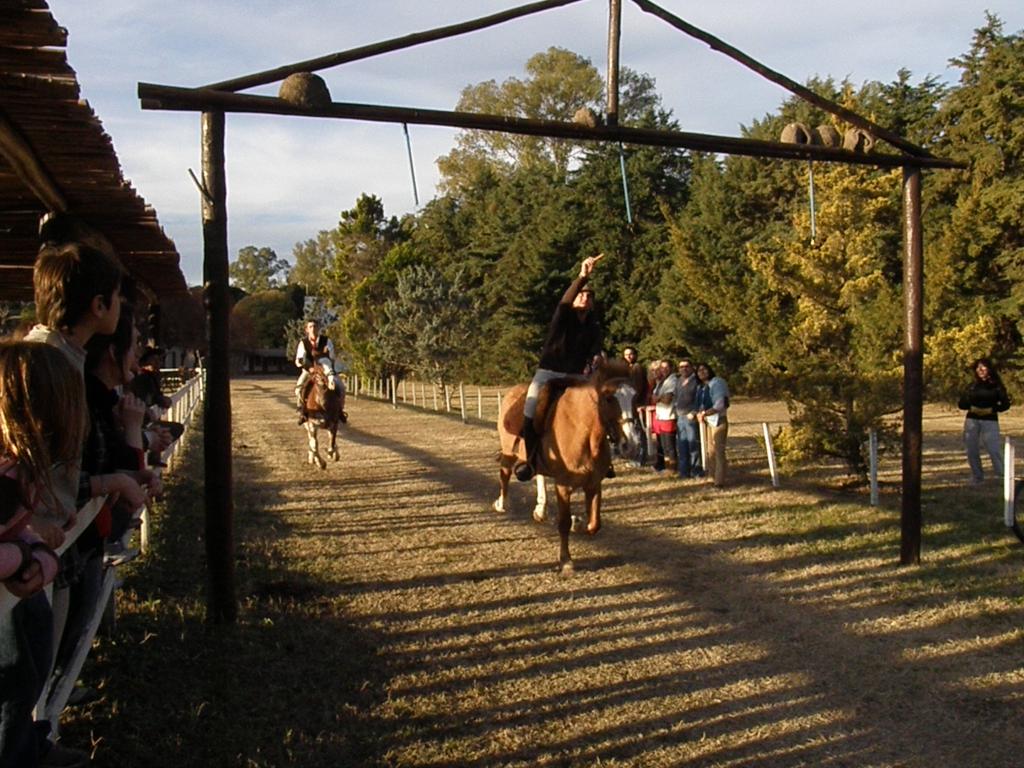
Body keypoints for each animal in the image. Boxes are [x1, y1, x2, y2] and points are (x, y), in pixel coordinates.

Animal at [491, 360, 634, 573]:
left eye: (635, 397)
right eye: (609, 398)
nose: (628, 444)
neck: (584, 431)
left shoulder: (594, 484)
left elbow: (594, 524)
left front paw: (578, 522)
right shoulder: (563, 485)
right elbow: (564, 522)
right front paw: (566, 561)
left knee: (539, 475)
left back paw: (540, 509)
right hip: (509, 451)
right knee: (505, 473)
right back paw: (501, 504)